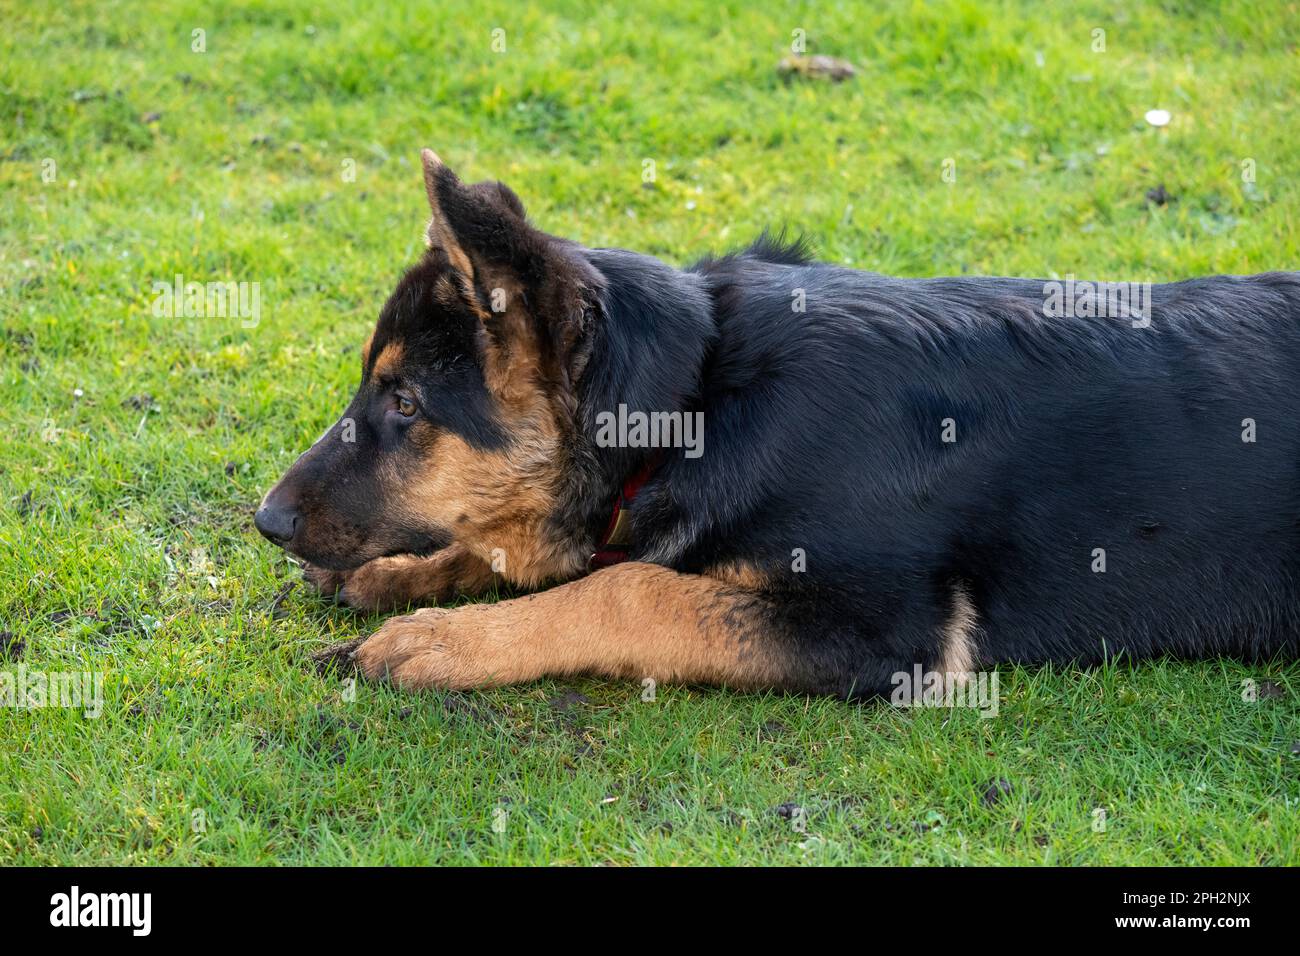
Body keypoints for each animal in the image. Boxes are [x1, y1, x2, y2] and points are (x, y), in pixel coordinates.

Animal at [253, 151, 1300, 702]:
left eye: (404, 403)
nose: (264, 522)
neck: (693, 406)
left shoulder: (888, 631)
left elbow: (627, 589)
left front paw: (444, 638)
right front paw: (412, 572)